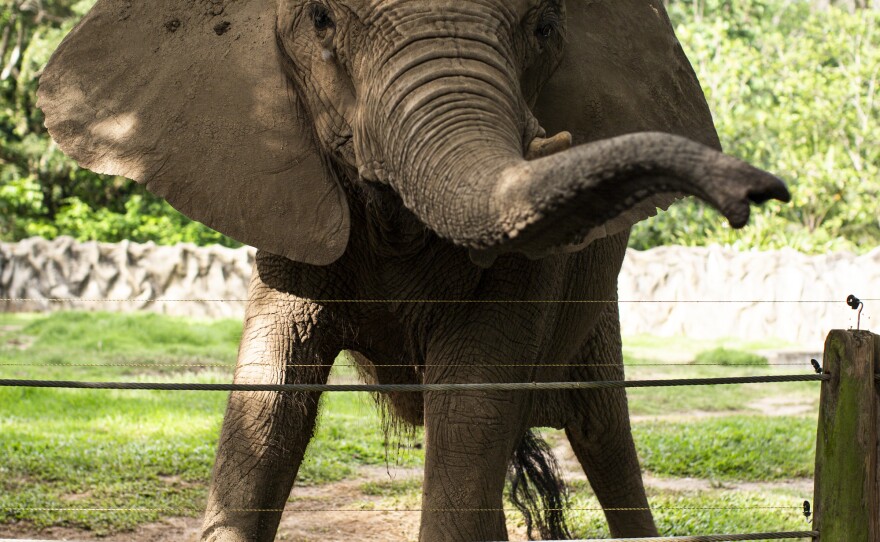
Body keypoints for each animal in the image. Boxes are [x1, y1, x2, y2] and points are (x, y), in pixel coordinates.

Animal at [36, 1, 792, 542]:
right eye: (321, 19)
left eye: (545, 25)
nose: (757, 194)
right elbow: (267, 400)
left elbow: (472, 401)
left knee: (602, 436)